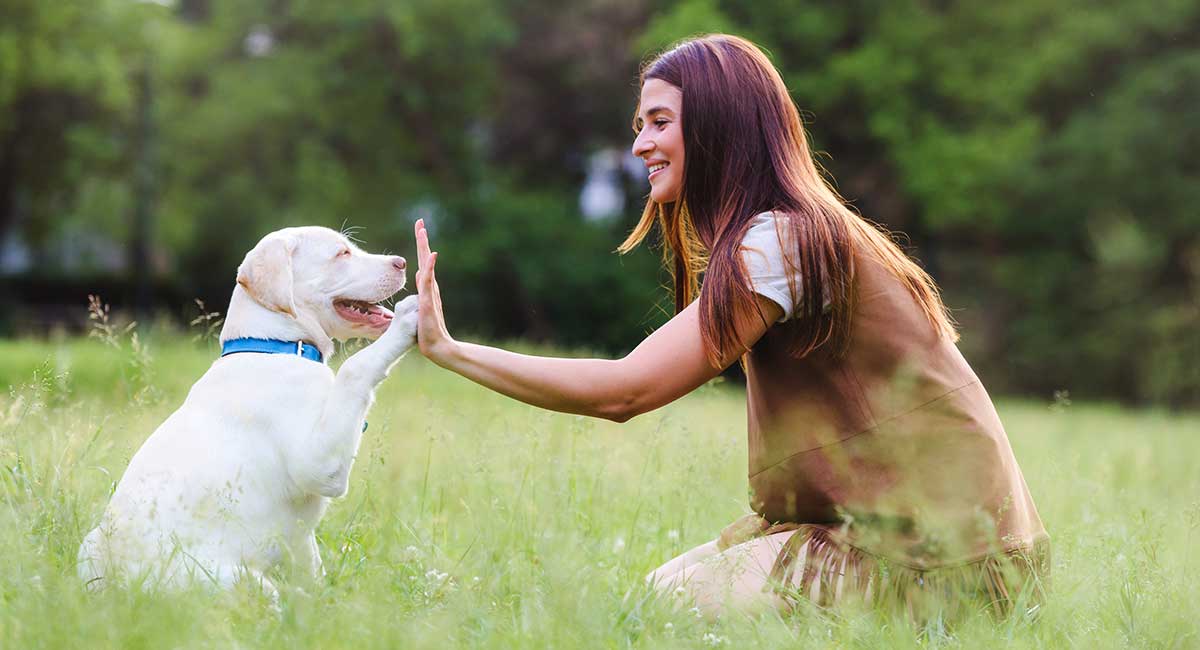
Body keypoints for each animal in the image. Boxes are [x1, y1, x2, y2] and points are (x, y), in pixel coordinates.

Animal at [78, 226, 417, 599]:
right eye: (342, 254)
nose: (402, 262)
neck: (275, 346)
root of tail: (121, 585)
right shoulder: (319, 465)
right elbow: (355, 368)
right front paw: (408, 320)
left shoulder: (301, 538)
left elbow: (310, 565)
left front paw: (322, 601)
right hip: (239, 583)